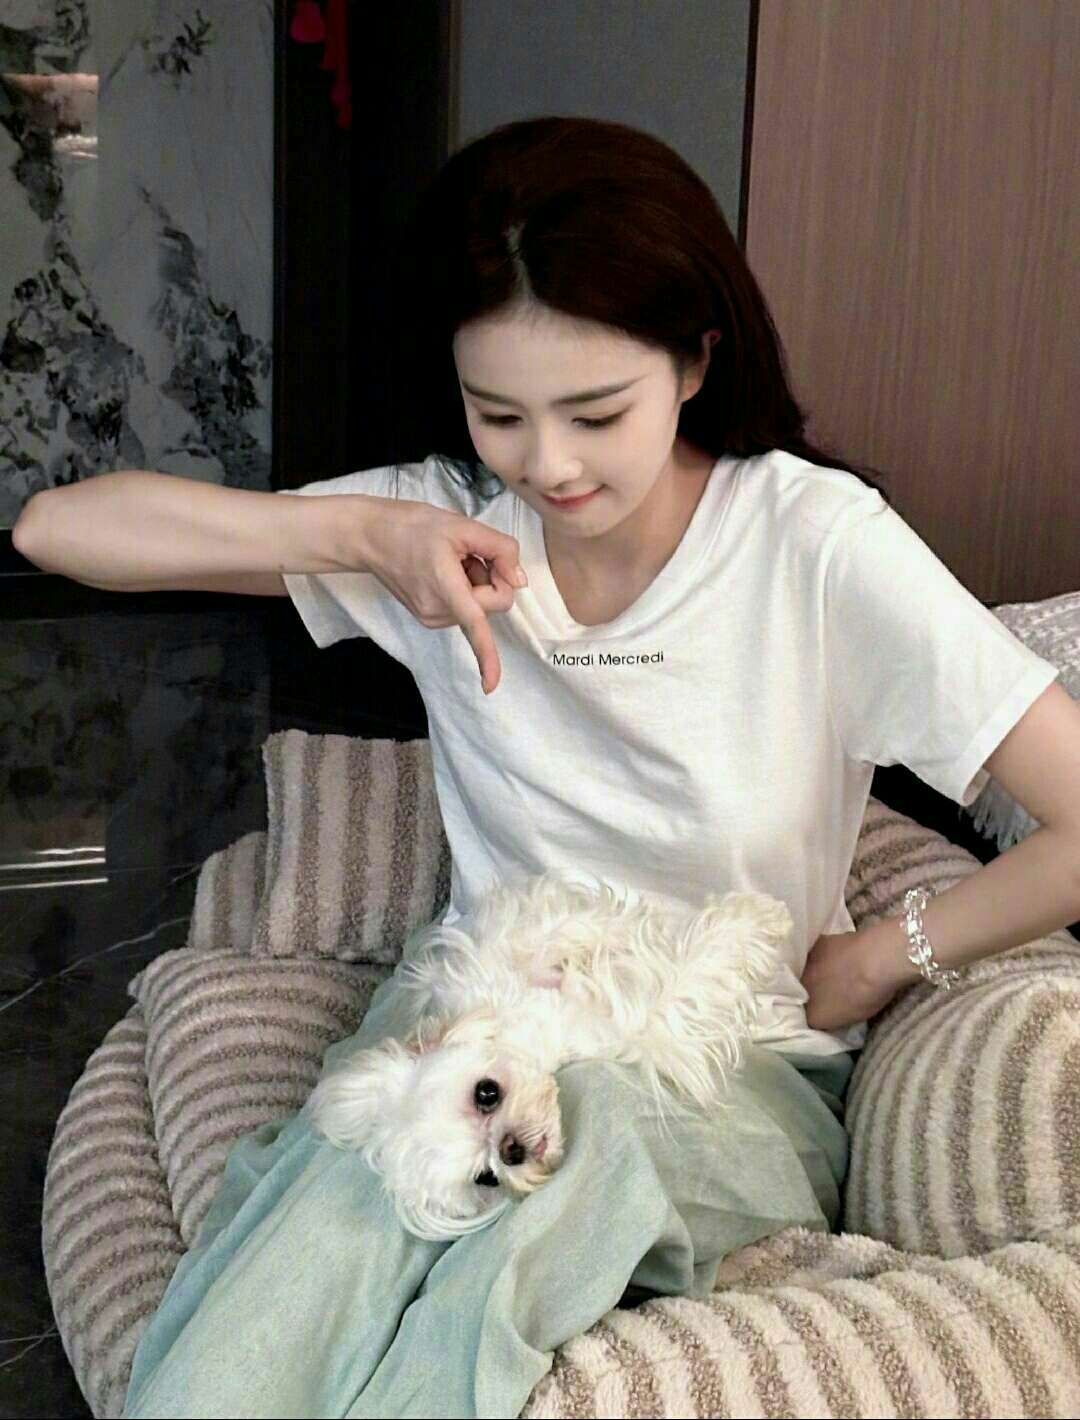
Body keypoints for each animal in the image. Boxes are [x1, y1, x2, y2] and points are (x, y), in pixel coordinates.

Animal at [304, 870, 793, 1241]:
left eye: (486, 1093)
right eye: (486, 1178)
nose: (511, 1149)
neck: (539, 1027)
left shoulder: (499, 956)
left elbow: (565, 925)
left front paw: (763, 915)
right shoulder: (636, 1025)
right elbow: (685, 982)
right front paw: (752, 925)